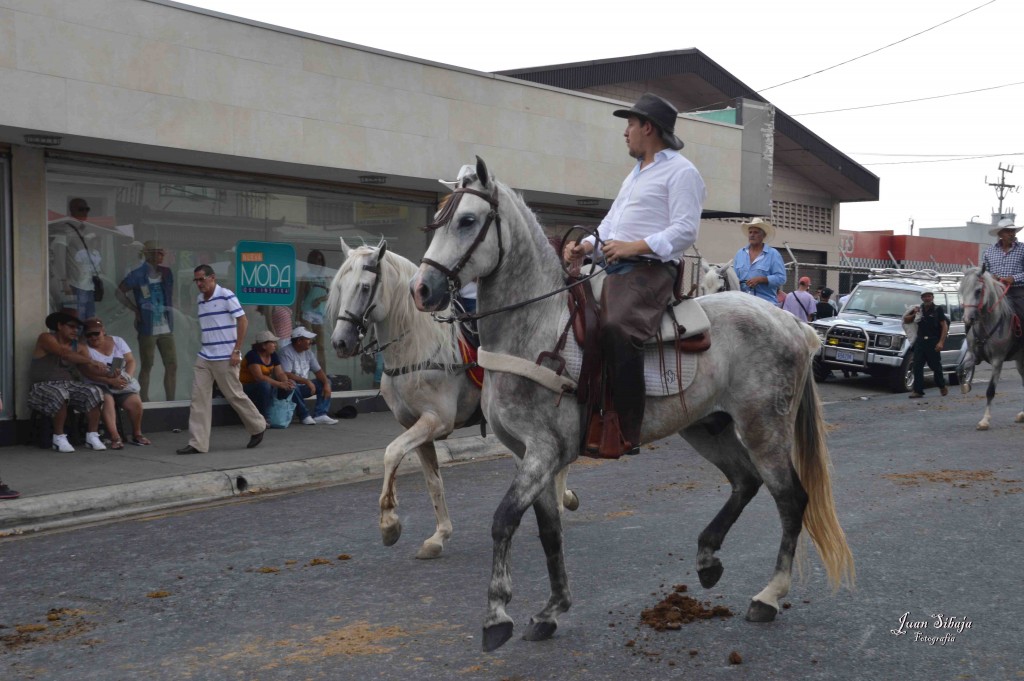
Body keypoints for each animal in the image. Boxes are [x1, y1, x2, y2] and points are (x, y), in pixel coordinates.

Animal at [327, 240, 577, 557]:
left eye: (364, 287)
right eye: (339, 286)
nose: (340, 342)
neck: (416, 347)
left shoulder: (436, 420)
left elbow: (391, 452)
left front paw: (389, 524)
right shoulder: (414, 425)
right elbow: (433, 480)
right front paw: (439, 535)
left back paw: (561, 502)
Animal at [411, 156, 851, 651]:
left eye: (467, 221)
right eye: (437, 219)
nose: (422, 289)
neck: (536, 328)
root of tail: (792, 323)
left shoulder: (544, 451)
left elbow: (504, 520)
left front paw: (497, 615)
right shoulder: (529, 455)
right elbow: (549, 532)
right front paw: (551, 610)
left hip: (764, 429)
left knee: (791, 499)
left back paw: (769, 595)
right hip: (707, 427)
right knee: (745, 481)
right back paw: (707, 558)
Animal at [958, 266, 1024, 430]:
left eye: (978, 291)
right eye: (962, 290)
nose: (967, 319)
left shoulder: (997, 361)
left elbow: (990, 391)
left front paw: (985, 420)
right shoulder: (972, 355)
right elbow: (959, 370)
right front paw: (965, 386)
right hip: (1020, 361)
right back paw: (1022, 415)